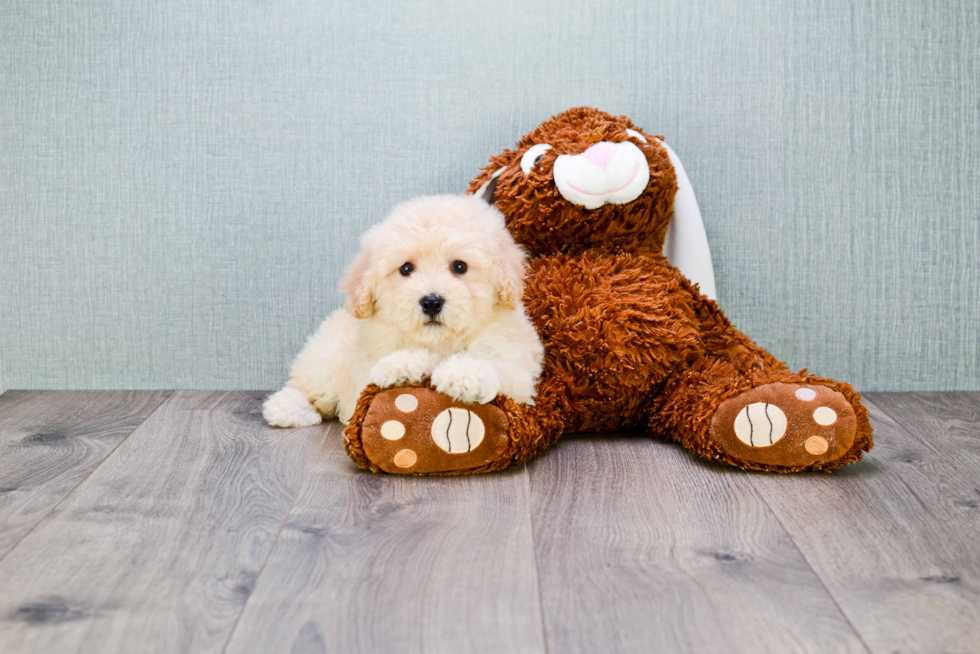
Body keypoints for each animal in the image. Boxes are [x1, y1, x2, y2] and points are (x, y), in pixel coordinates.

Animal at [262, 196, 544, 430]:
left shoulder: (518, 371)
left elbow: (498, 367)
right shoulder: (361, 377)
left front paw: (464, 374)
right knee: (305, 386)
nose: (431, 302)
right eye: (406, 269)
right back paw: (286, 408)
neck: (439, 343)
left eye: (459, 266)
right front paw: (404, 365)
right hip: (326, 356)